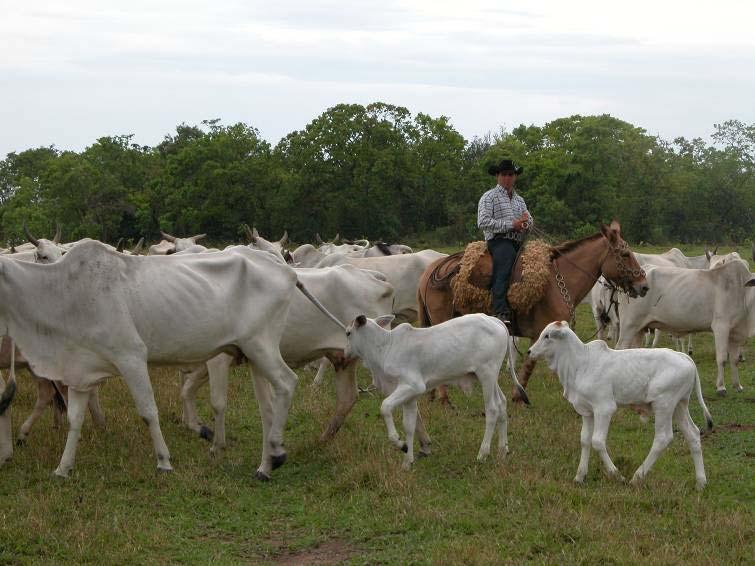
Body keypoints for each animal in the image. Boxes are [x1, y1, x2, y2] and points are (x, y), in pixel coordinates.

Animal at [0, 242, 330, 482]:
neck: (63, 292)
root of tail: (284, 269)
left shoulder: (131, 355)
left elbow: (148, 412)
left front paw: (164, 461)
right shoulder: (81, 370)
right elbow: (75, 420)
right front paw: (63, 468)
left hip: (260, 346)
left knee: (287, 383)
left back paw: (276, 450)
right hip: (252, 355)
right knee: (267, 408)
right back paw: (264, 466)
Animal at [346, 316, 528, 470]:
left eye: (348, 333)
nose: (345, 354)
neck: (385, 347)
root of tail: (495, 320)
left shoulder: (412, 386)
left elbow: (385, 407)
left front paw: (399, 443)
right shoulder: (410, 397)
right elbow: (409, 426)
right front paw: (407, 462)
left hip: (487, 374)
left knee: (492, 409)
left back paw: (483, 453)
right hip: (489, 377)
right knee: (502, 404)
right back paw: (502, 451)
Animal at [416, 222, 648, 404]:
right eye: (625, 254)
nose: (644, 285)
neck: (557, 281)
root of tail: (432, 269)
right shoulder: (540, 332)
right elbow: (530, 362)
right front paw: (519, 396)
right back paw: (445, 400)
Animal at [524, 322, 716, 490]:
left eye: (547, 336)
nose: (529, 351)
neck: (580, 364)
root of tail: (685, 357)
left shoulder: (604, 408)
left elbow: (597, 441)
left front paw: (617, 475)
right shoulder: (587, 411)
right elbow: (585, 440)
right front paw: (579, 476)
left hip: (664, 404)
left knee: (663, 437)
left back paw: (637, 477)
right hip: (679, 405)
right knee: (693, 434)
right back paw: (701, 483)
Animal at [616, 260, 752, 394]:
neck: (741, 291)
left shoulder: (735, 331)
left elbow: (735, 359)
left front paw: (737, 386)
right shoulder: (721, 326)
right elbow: (722, 358)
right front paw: (721, 387)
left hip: (639, 328)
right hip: (629, 325)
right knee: (620, 348)